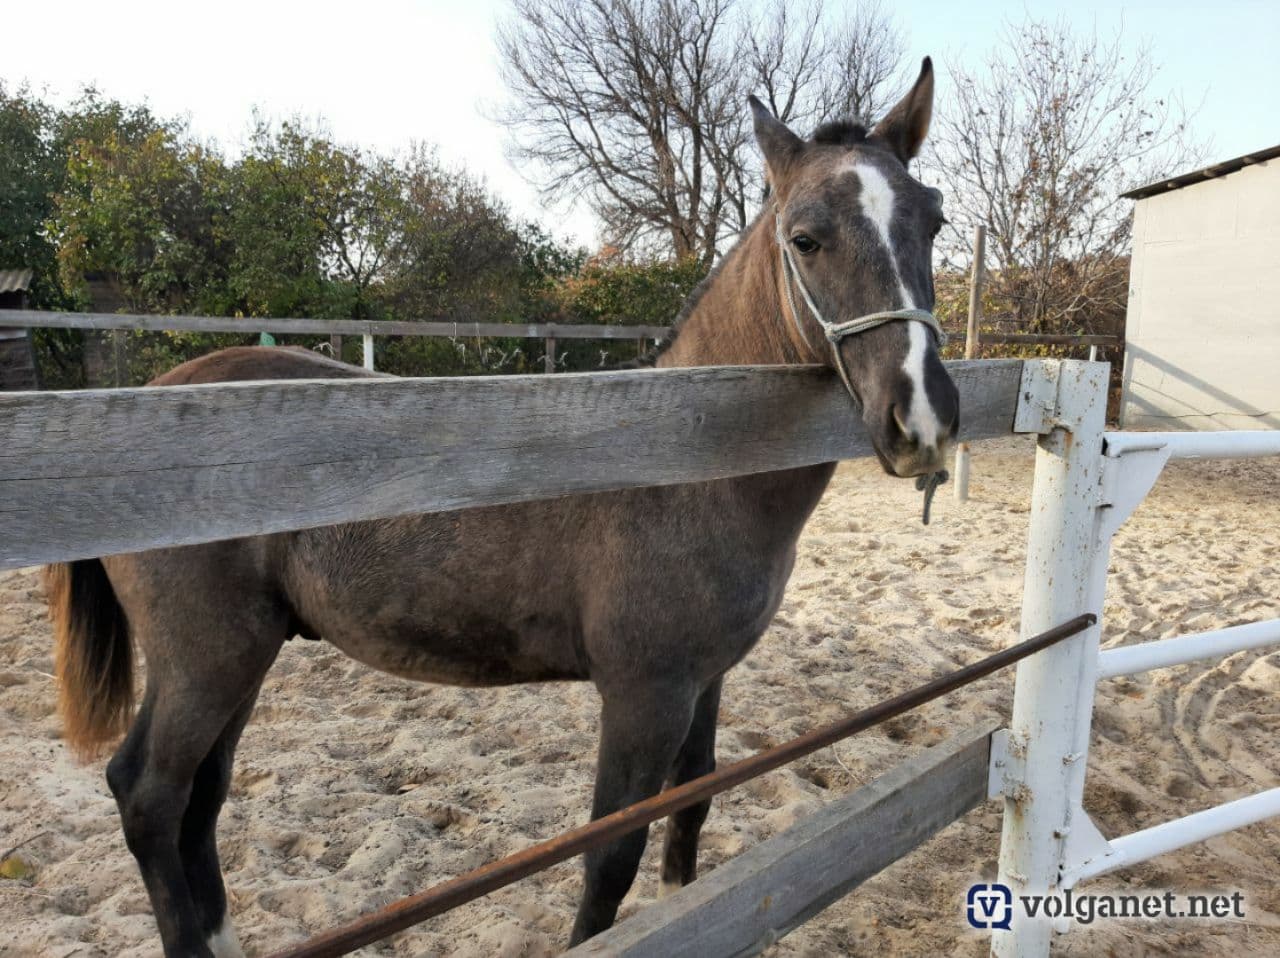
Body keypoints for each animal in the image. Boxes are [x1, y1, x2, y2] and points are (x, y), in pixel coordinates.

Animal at [45, 61, 957, 957]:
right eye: (806, 238)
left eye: (934, 222)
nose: (922, 418)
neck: (682, 459)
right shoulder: (645, 694)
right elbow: (611, 857)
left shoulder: (707, 680)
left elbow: (690, 816)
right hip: (205, 659)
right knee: (150, 796)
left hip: (246, 654)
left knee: (202, 799)